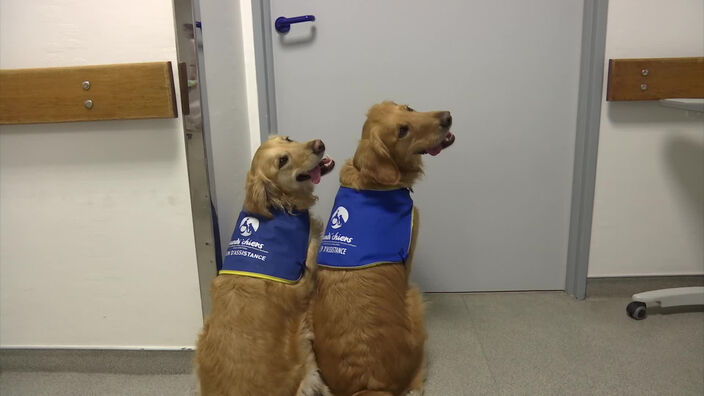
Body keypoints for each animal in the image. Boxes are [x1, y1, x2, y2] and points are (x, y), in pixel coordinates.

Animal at [197, 135, 336, 396]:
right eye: (282, 161)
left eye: (288, 140)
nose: (319, 144)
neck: (278, 206)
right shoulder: (306, 266)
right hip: (306, 362)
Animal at [310, 100, 454, 394]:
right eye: (402, 131)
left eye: (408, 109)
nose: (447, 117)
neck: (374, 181)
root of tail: (368, 385)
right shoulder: (408, 255)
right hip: (414, 299)